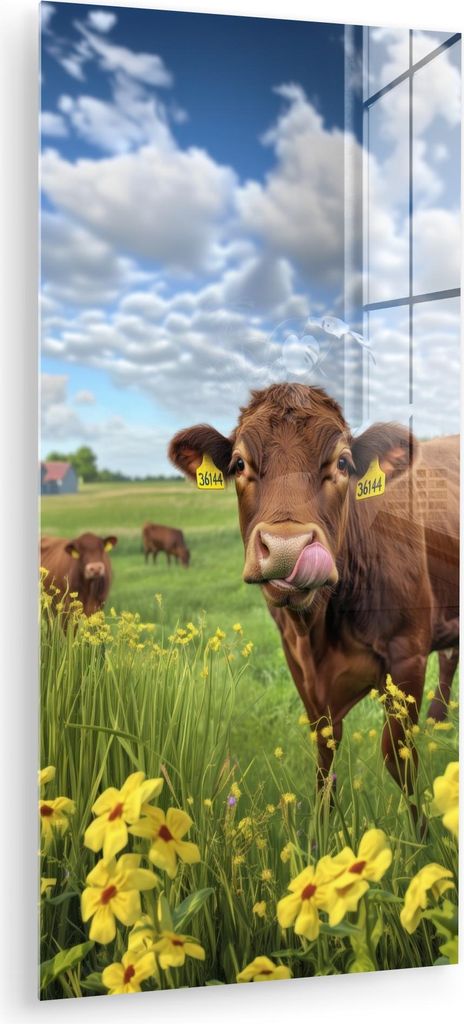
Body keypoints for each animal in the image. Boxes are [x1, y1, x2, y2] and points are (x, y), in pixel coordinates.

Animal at [168, 383, 459, 808]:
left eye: (343, 463)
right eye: (238, 464)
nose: (287, 548)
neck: (319, 629)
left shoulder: (408, 654)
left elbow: (398, 756)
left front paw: (420, 823)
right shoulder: (299, 663)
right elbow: (325, 753)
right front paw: (323, 819)